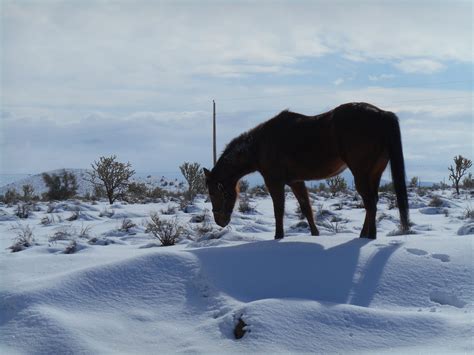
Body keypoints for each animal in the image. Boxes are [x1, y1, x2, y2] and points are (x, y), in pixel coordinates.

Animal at [203, 103, 408, 242]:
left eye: (213, 192)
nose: (219, 221)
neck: (259, 145)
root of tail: (382, 114)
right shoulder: (296, 181)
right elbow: (306, 209)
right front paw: (315, 234)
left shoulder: (274, 181)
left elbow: (279, 210)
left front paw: (278, 236)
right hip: (373, 174)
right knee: (372, 202)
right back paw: (364, 235)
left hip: (361, 174)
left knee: (370, 203)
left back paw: (369, 237)